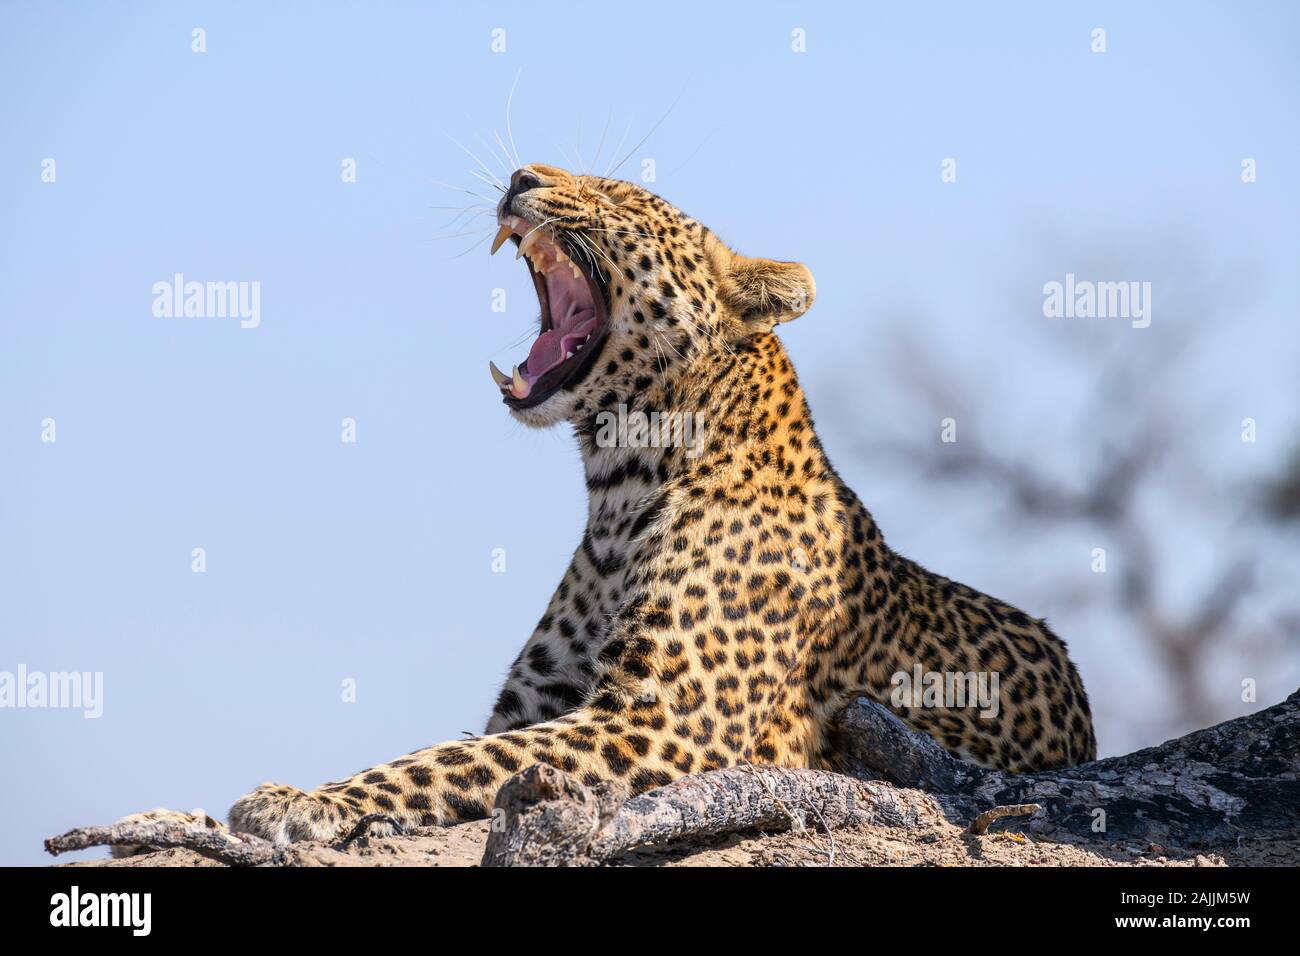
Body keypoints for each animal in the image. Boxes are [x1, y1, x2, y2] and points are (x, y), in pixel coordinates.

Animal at [114, 166, 1097, 853]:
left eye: (618, 194)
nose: (521, 176)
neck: (619, 484)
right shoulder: (536, 703)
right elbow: (455, 752)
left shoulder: (653, 720)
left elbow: (444, 762)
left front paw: (300, 800)